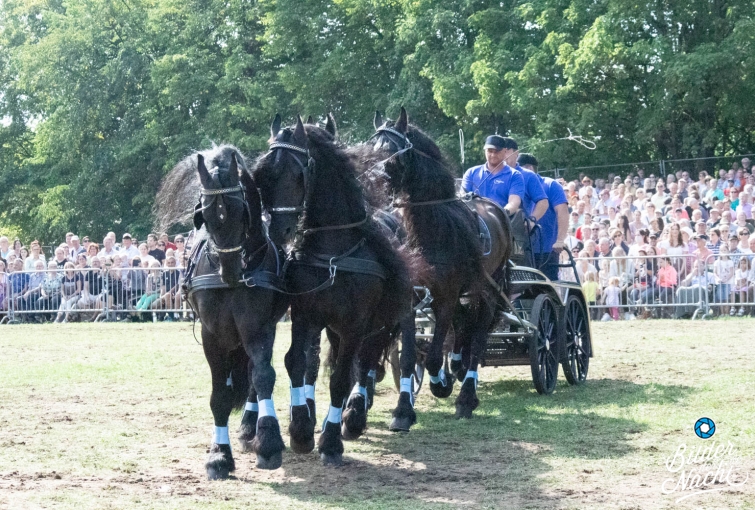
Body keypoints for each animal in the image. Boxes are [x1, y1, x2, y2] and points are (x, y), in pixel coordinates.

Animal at [155, 145, 289, 477]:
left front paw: (269, 443)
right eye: (204, 215)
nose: (229, 269)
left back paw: (253, 428)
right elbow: (220, 395)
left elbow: (263, 377)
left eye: (241, 210)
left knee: (255, 375)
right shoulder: (212, 335)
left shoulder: (257, 329)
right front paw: (219, 455)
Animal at [252, 115, 414, 465]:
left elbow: (342, 378)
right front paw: (301, 429)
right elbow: (298, 363)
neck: (333, 250)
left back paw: (358, 416)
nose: (278, 230)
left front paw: (330, 441)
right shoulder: (305, 315)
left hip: (388, 320)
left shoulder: (356, 324)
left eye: (296, 173)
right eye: (263, 175)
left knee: (370, 362)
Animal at [350, 107, 512, 423]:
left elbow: (436, 354)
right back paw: (458, 366)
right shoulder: (410, 297)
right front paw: (403, 410)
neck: (431, 231)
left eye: (392, 151)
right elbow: (409, 355)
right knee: (463, 326)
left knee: (478, 337)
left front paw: (441, 384)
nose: (369, 182)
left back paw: (466, 396)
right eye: (370, 149)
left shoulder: (446, 295)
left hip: (488, 289)